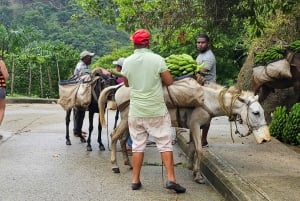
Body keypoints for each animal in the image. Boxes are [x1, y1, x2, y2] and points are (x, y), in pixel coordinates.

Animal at [98, 82, 272, 184]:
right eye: (256, 113)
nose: (267, 139)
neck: (208, 100)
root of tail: (119, 87)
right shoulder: (195, 125)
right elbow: (200, 150)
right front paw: (198, 175)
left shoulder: (195, 127)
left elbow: (193, 147)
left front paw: (191, 168)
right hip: (126, 119)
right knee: (114, 136)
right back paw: (115, 166)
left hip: (131, 121)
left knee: (122, 139)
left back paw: (128, 163)